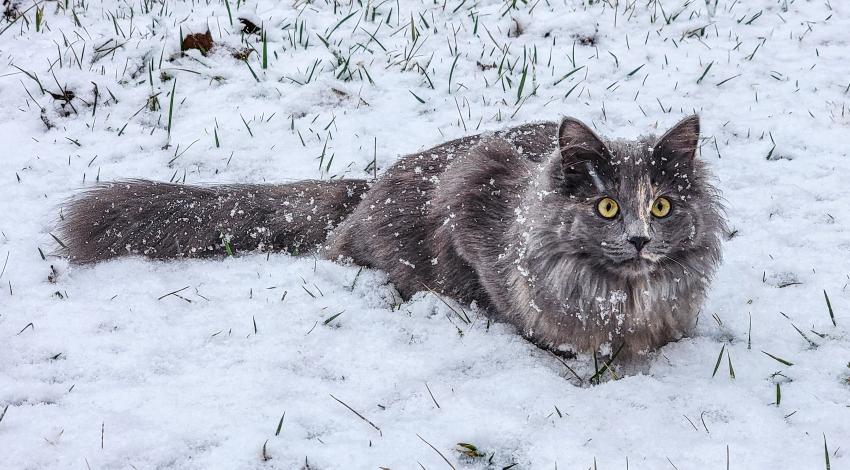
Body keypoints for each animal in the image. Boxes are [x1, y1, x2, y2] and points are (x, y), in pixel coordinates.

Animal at [59, 116, 724, 360]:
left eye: (661, 206)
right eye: (607, 206)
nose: (639, 240)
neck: (624, 300)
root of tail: (368, 186)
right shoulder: (471, 186)